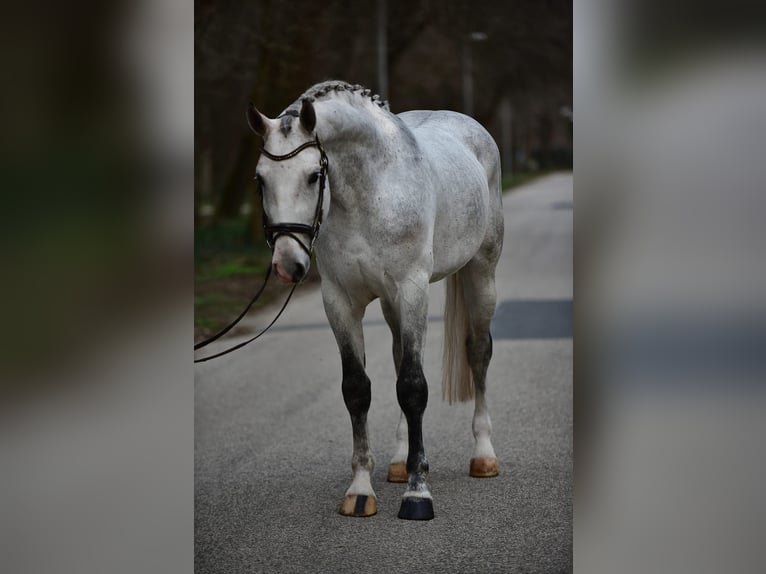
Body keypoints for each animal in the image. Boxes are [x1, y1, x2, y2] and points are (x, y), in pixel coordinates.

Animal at [246, 80, 504, 520]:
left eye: (314, 176)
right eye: (261, 179)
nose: (287, 264)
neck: (370, 194)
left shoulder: (413, 290)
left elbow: (414, 387)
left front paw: (418, 495)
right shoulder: (340, 301)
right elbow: (358, 389)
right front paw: (361, 491)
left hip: (481, 274)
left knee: (479, 353)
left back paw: (483, 456)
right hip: (390, 304)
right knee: (401, 357)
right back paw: (400, 463)